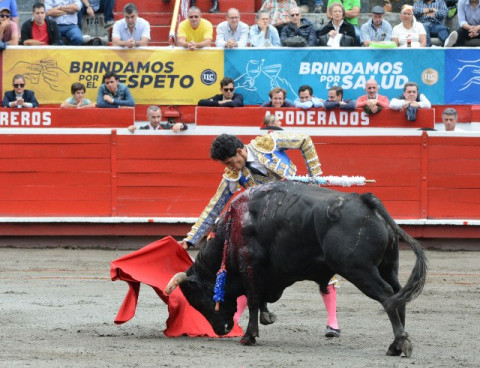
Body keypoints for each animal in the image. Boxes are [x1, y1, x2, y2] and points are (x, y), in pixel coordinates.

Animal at [166, 181, 428, 356]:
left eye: (199, 300)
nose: (221, 330)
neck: (234, 224)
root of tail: (365, 200)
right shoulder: (265, 273)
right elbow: (258, 297)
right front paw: (266, 317)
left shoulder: (249, 263)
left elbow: (252, 298)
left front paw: (249, 336)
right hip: (388, 267)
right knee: (399, 296)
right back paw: (396, 345)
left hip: (359, 269)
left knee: (387, 296)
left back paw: (400, 343)